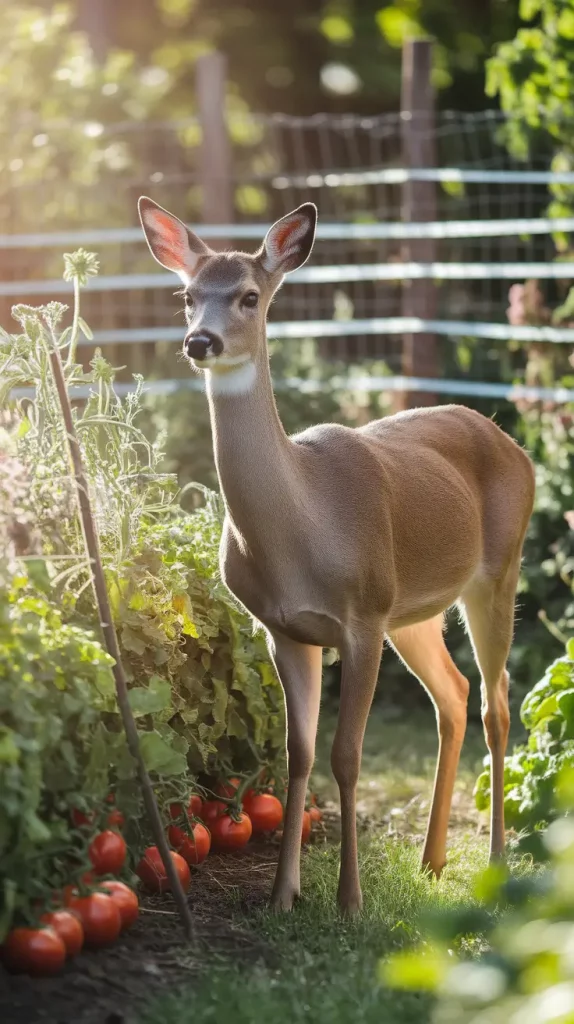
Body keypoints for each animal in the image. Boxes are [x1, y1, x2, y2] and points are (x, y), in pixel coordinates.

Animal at [138, 196, 536, 915]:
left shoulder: (362, 617)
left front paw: (350, 899)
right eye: (186, 296)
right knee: (454, 693)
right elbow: (297, 754)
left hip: (496, 571)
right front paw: (282, 894)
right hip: (413, 613)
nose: (199, 341)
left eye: (248, 295)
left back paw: (494, 861)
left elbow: (347, 755)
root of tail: (511, 442)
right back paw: (432, 861)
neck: (301, 526)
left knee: (496, 704)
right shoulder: (285, 629)